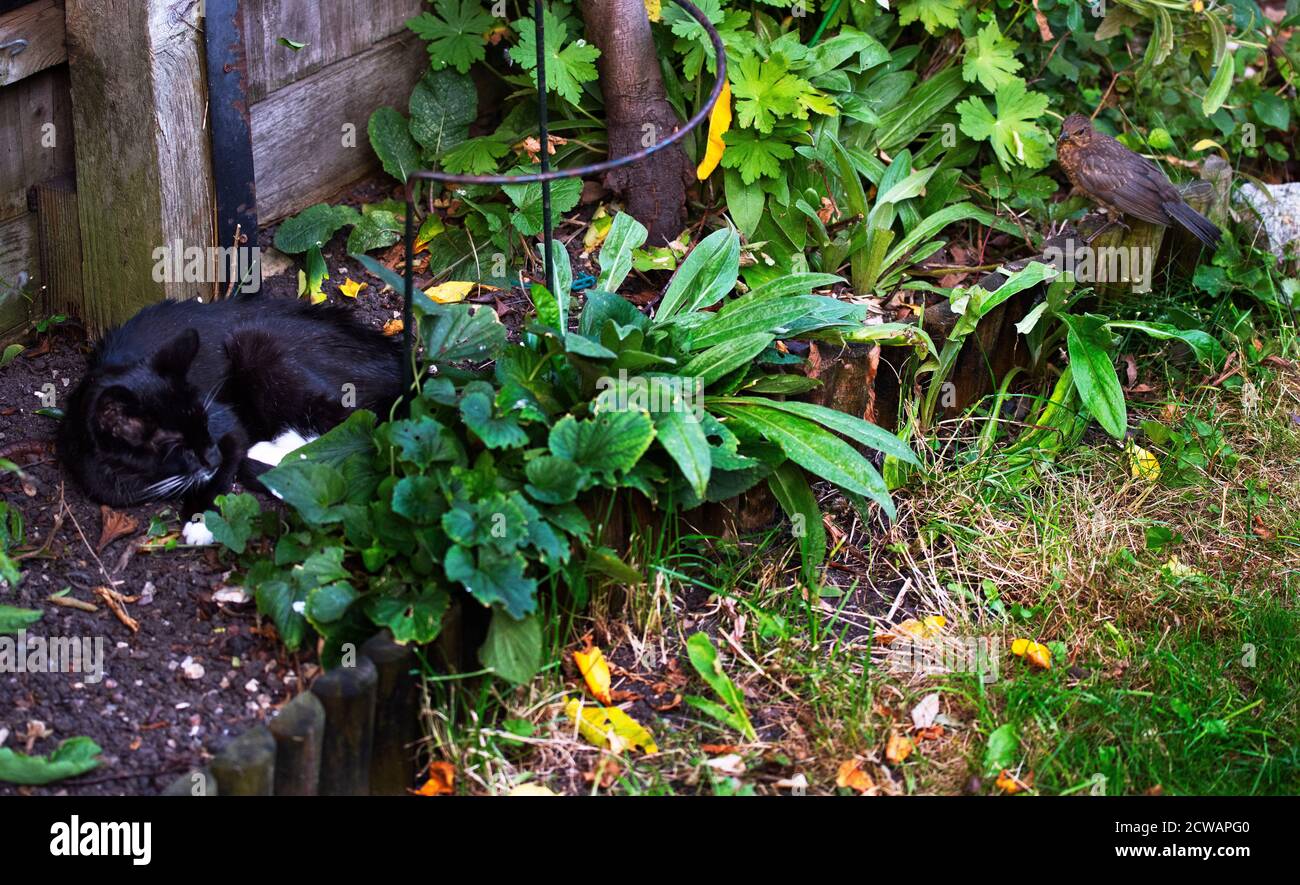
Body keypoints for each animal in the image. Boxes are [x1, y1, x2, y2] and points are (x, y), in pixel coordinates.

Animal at [58, 296, 400, 517]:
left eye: (205, 423)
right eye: (176, 446)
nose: (212, 455)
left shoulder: (227, 422)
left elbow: (233, 449)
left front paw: (199, 517)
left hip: (256, 344)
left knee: (353, 425)